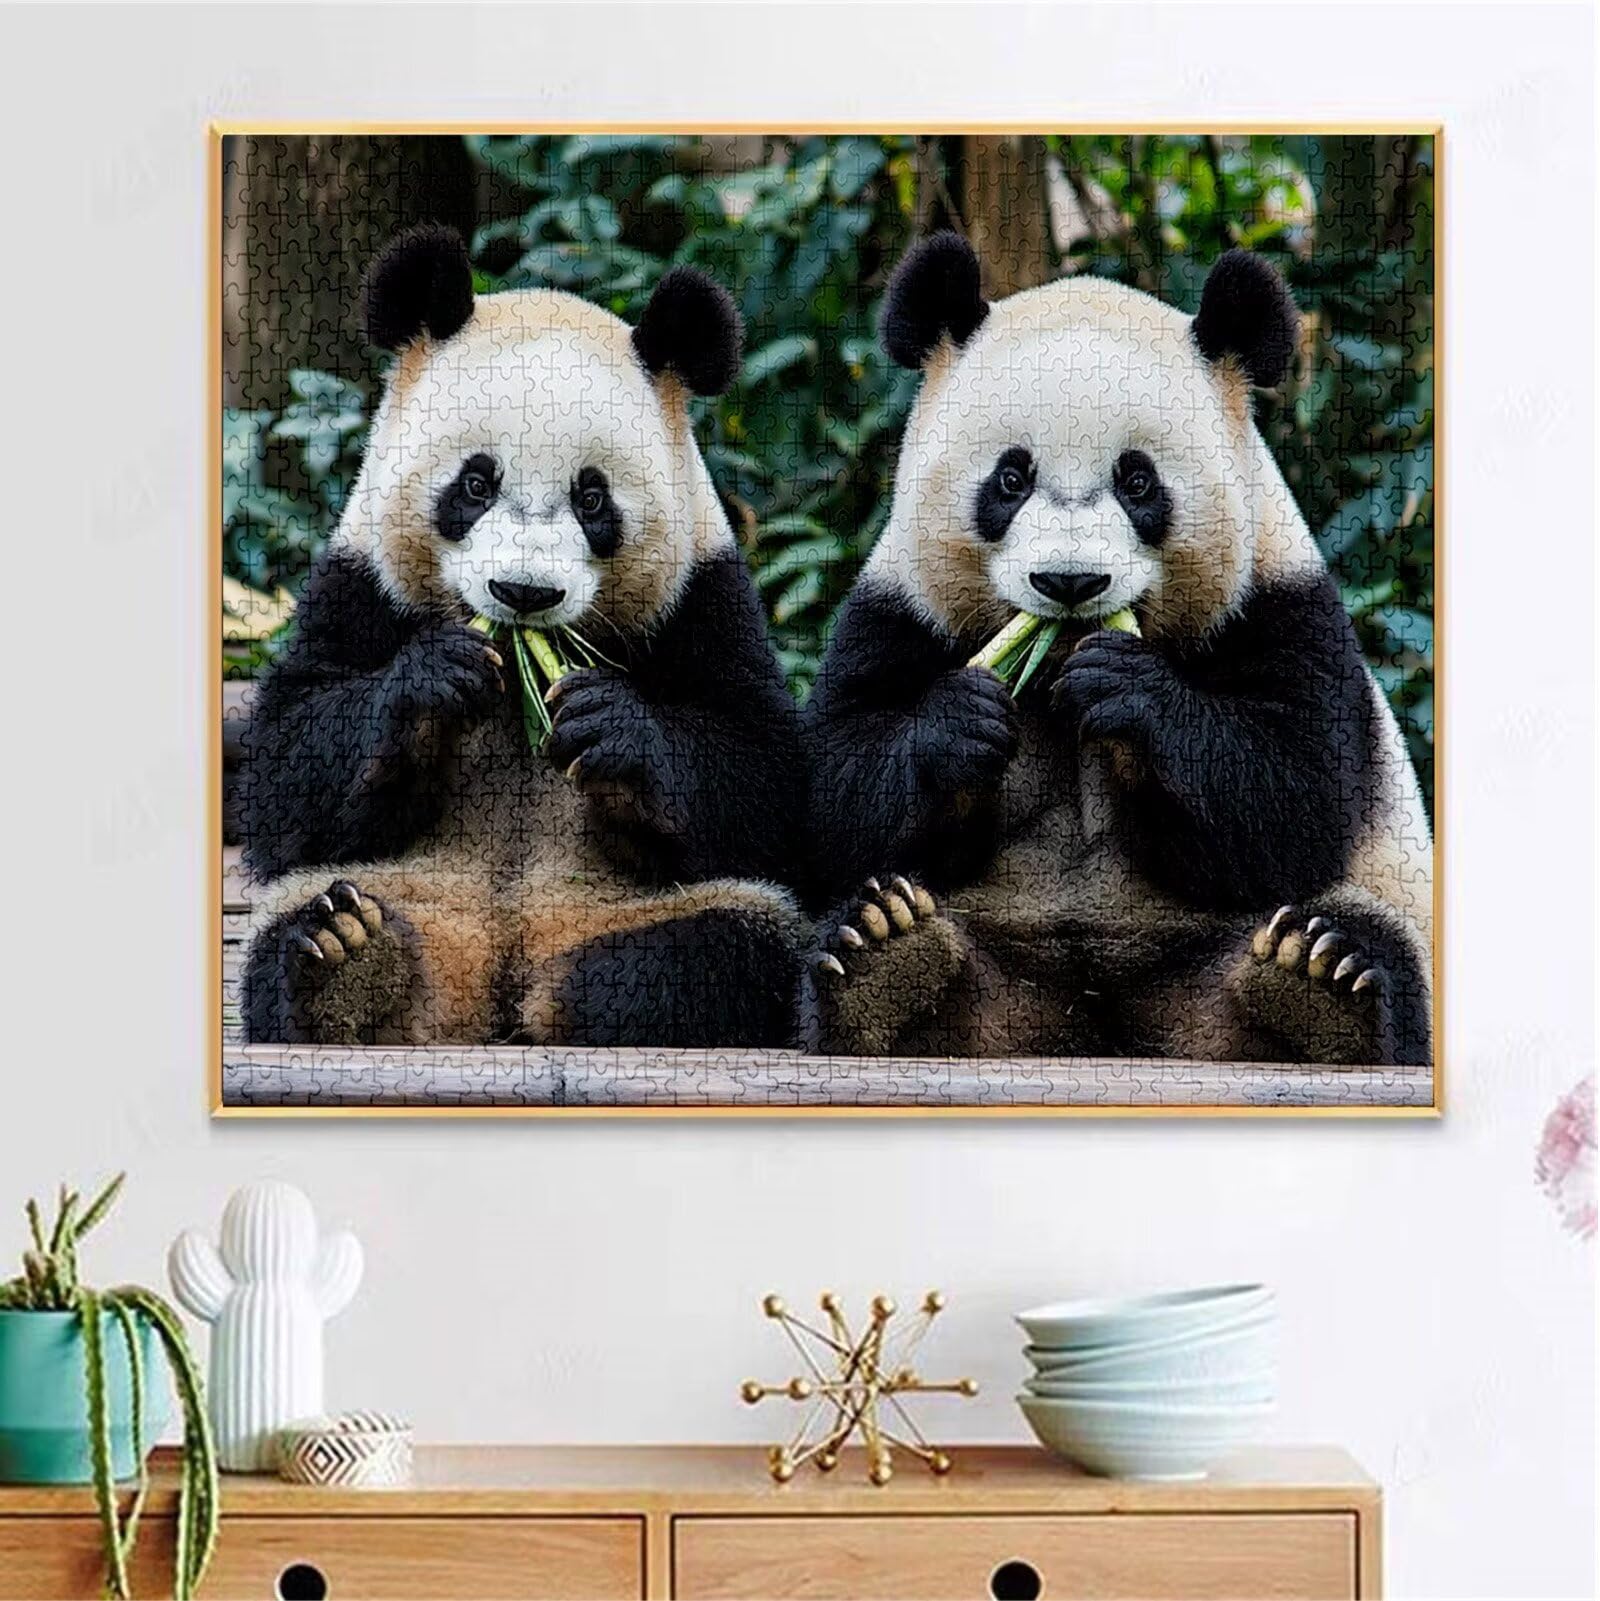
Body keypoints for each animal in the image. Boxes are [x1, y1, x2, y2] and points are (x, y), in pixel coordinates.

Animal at [241, 225, 806, 1049]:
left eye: (592, 497)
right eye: (476, 484)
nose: (524, 594)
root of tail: (504, 969)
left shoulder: (701, 592)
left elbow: (764, 778)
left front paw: (610, 726)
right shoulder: (360, 579)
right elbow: (287, 772)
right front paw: (431, 684)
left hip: (641, 907)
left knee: (734, 946)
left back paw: (592, 995)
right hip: (403, 888)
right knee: (293, 930)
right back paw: (355, 968)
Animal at [801, 233, 1432, 1068]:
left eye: (1138, 480)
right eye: (1011, 477)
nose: (1070, 581)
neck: (1055, 668)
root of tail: (1099, 1026)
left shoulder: (1282, 602)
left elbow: (1296, 800)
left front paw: (1129, 691)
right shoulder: (899, 606)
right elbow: (837, 800)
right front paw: (961, 721)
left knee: (1367, 939)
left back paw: (1315, 987)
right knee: (878, 929)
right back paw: (885, 964)